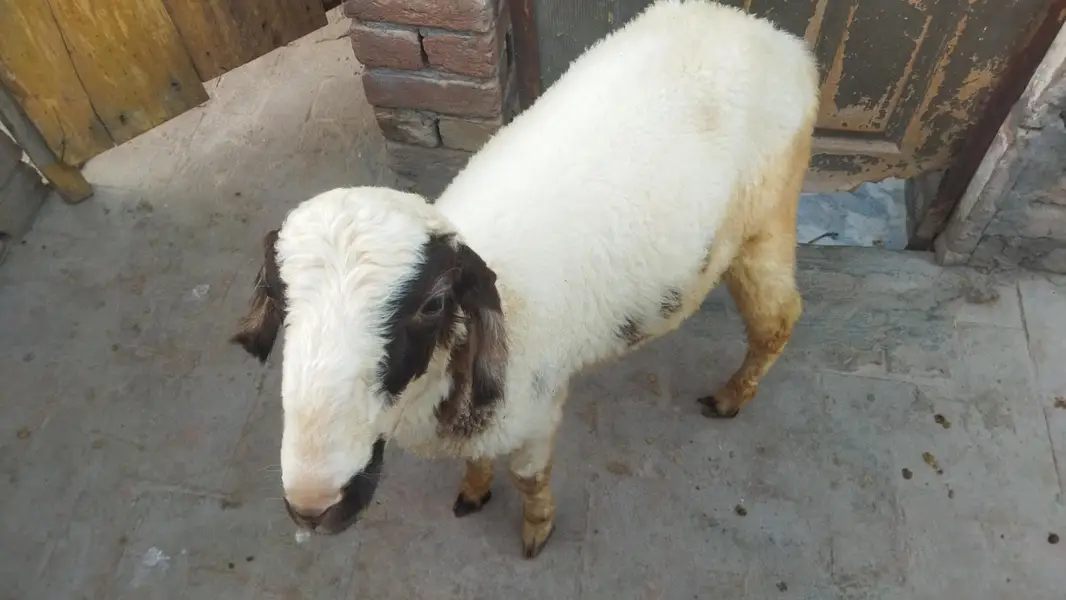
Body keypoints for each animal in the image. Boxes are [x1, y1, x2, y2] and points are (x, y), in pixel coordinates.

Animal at [231, 0, 820, 559]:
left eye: (434, 303)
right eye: (278, 296)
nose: (312, 507)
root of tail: (765, 32)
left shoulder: (535, 413)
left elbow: (528, 477)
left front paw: (537, 528)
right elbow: (477, 463)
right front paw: (473, 490)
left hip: (767, 217)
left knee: (778, 319)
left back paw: (731, 398)